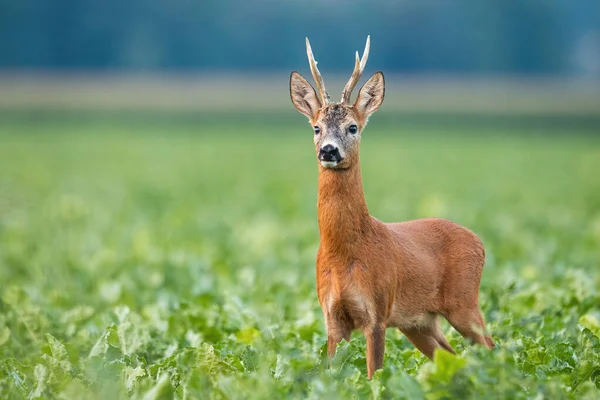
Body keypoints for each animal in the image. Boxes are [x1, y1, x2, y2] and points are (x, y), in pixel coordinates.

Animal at [288, 36, 494, 378]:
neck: (345, 253)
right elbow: (330, 374)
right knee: (449, 354)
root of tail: (479, 241)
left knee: (491, 346)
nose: (329, 150)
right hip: (419, 322)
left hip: (464, 303)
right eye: (316, 127)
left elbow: (375, 374)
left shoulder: (378, 311)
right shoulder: (332, 317)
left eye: (353, 127)